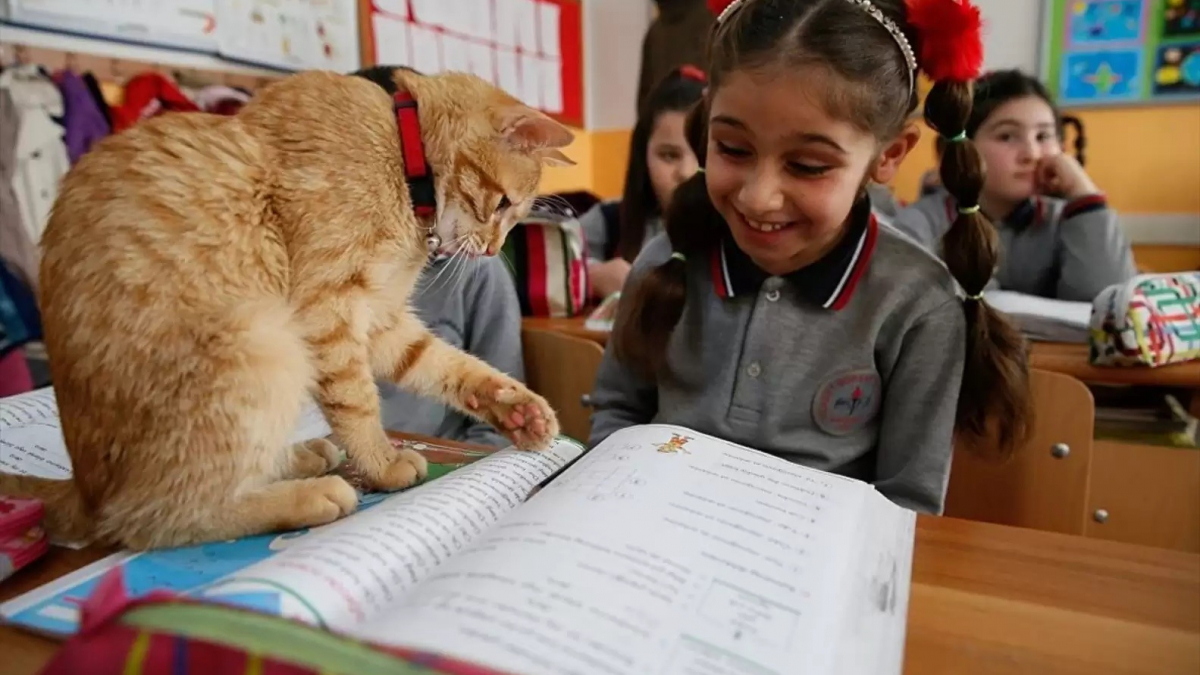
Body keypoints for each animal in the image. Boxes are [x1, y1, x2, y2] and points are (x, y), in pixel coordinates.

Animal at [0, 68, 568, 550]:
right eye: (502, 205)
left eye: (512, 215)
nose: (492, 250)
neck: (404, 158)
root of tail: (85, 490)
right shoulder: (327, 309)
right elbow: (358, 402)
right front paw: (381, 463)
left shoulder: (379, 322)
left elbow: (447, 365)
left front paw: (516, 408)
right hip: (260, 341)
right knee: (153, 518)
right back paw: (307, 498)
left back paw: (301, 456)